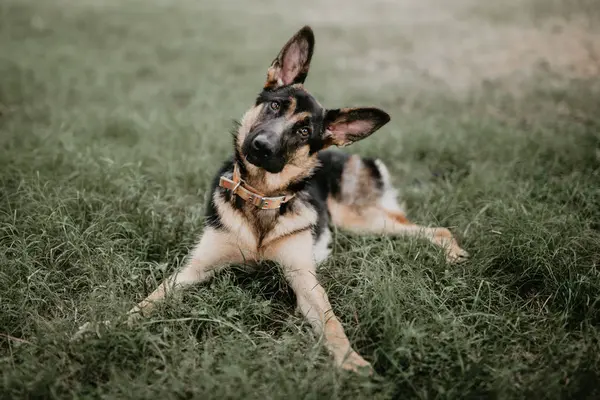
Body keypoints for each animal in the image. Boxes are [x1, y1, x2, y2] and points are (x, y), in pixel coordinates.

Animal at [76, 26, 468, 374]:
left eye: (304, 130)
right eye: (276, 106)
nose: (261, 146)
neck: (261, 198)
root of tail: (349, 154)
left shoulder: (303, 279)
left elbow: (332, 323)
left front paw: (351, 361)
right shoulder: (194, 269)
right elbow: (150, 299)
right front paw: (106, 326)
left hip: (358, 222)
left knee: (437, 229)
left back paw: (454, 254)